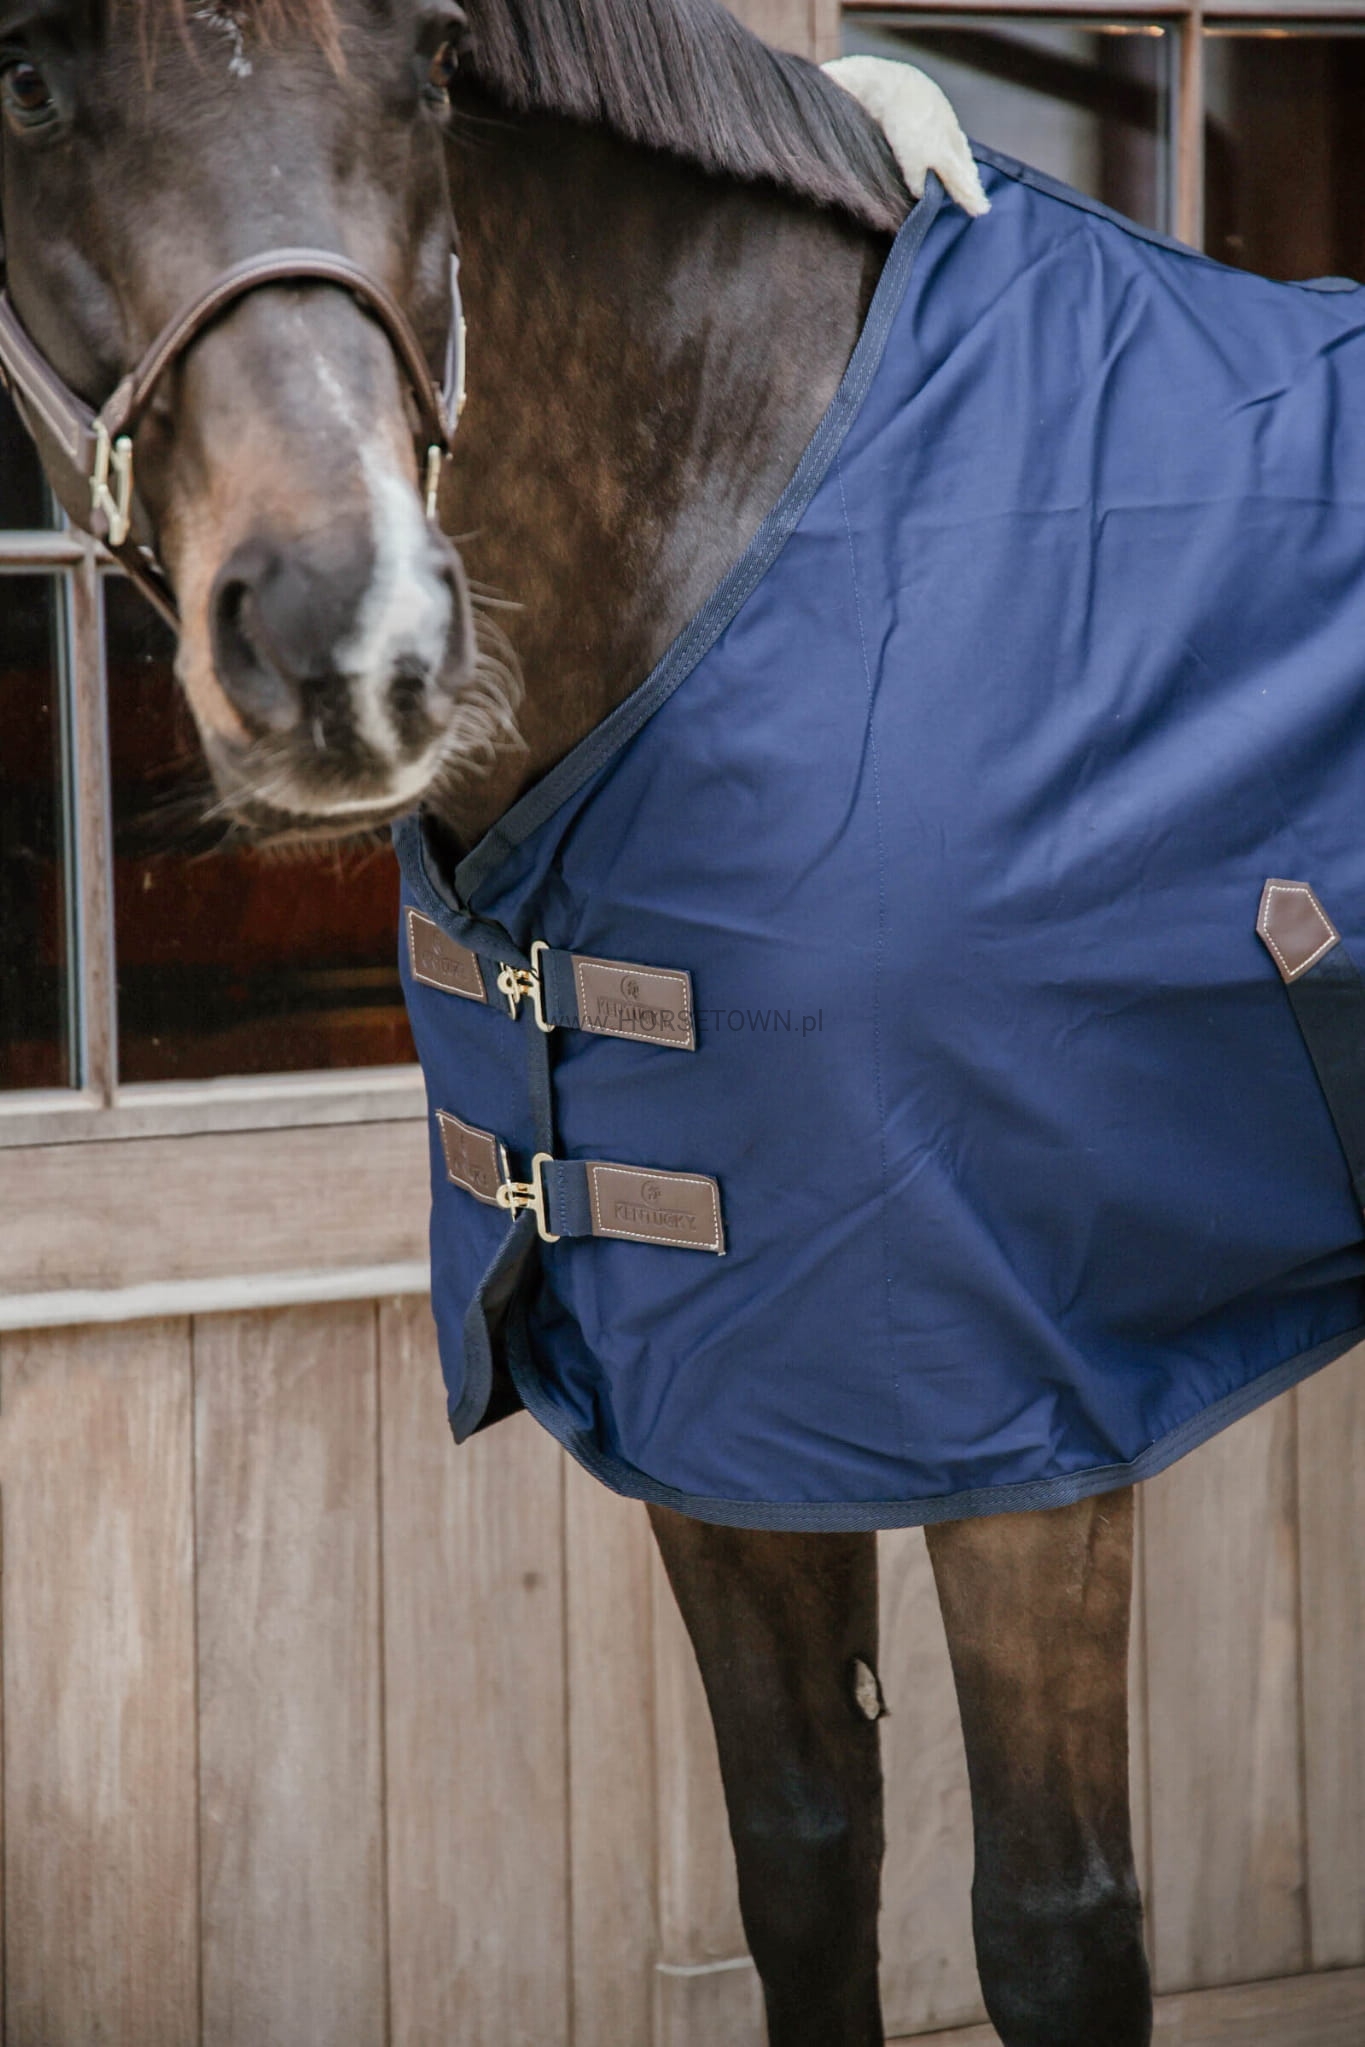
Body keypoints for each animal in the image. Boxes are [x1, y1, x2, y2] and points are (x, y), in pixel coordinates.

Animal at [2, 4, 1246, 2041]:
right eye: (27, 85)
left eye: (429, 65)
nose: (352, 632)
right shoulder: (708, 1393)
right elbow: (806, 1857)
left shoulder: (1031, 1419)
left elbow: (1059, 1930)